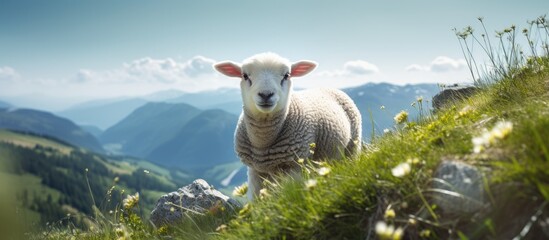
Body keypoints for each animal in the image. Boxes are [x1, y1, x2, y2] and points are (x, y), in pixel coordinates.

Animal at [215, 53, 364, 199]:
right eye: (245, 75)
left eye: (286, 75)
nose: (265, 94)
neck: (263, 143)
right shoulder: (255, 170)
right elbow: (256, 199)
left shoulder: (295, 166)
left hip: (352, 145)